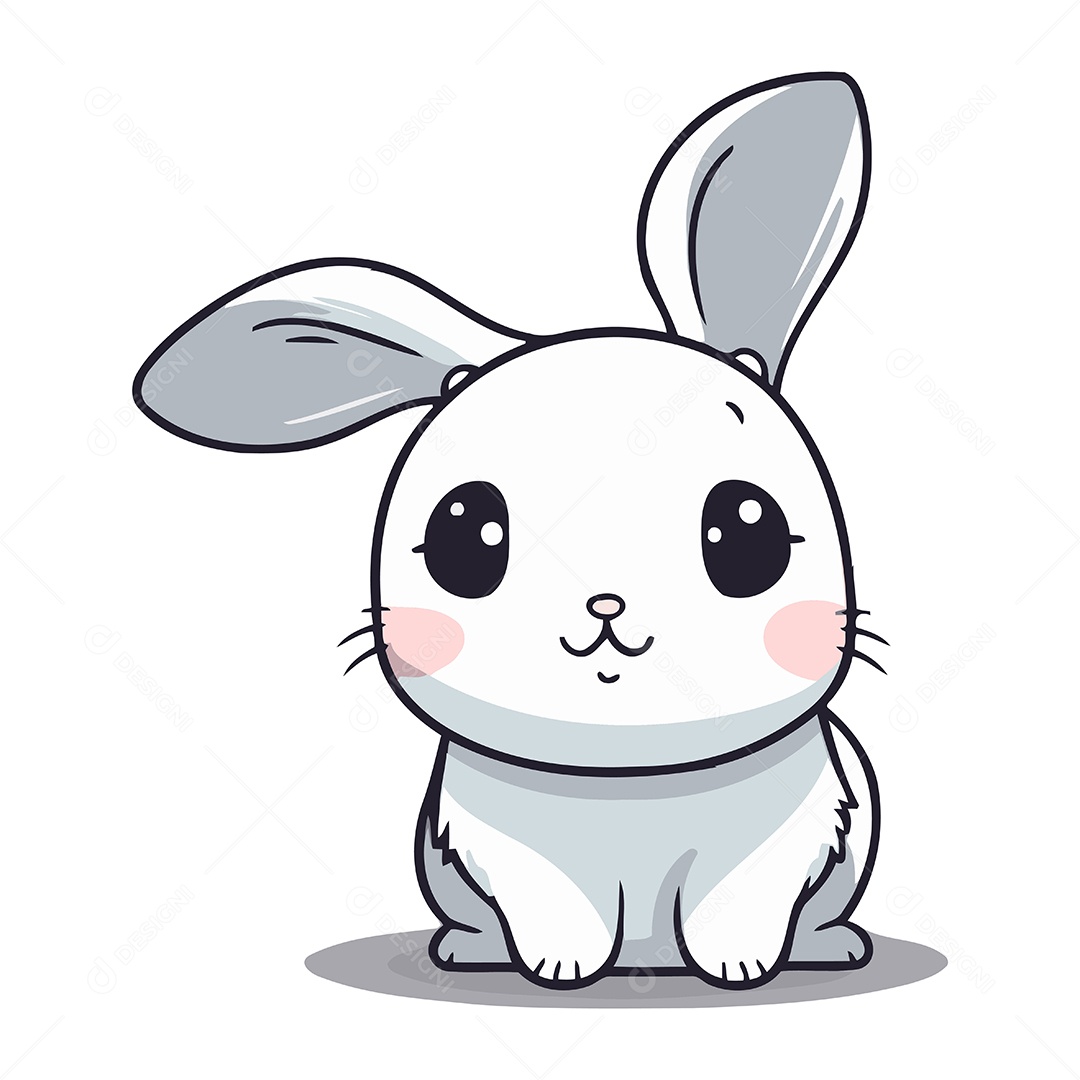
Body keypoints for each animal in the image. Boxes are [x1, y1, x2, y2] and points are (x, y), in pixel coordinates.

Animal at [133, 72, 883, 990]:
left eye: (750, 531)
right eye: (467, 536)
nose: (606, 604)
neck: (625, 777)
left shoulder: (788, 841)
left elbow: (735, 902)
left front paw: (738, 969)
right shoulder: (506, 855)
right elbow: (557, 908)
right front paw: (561, 969)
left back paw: (827, 948)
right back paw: (470, 952)